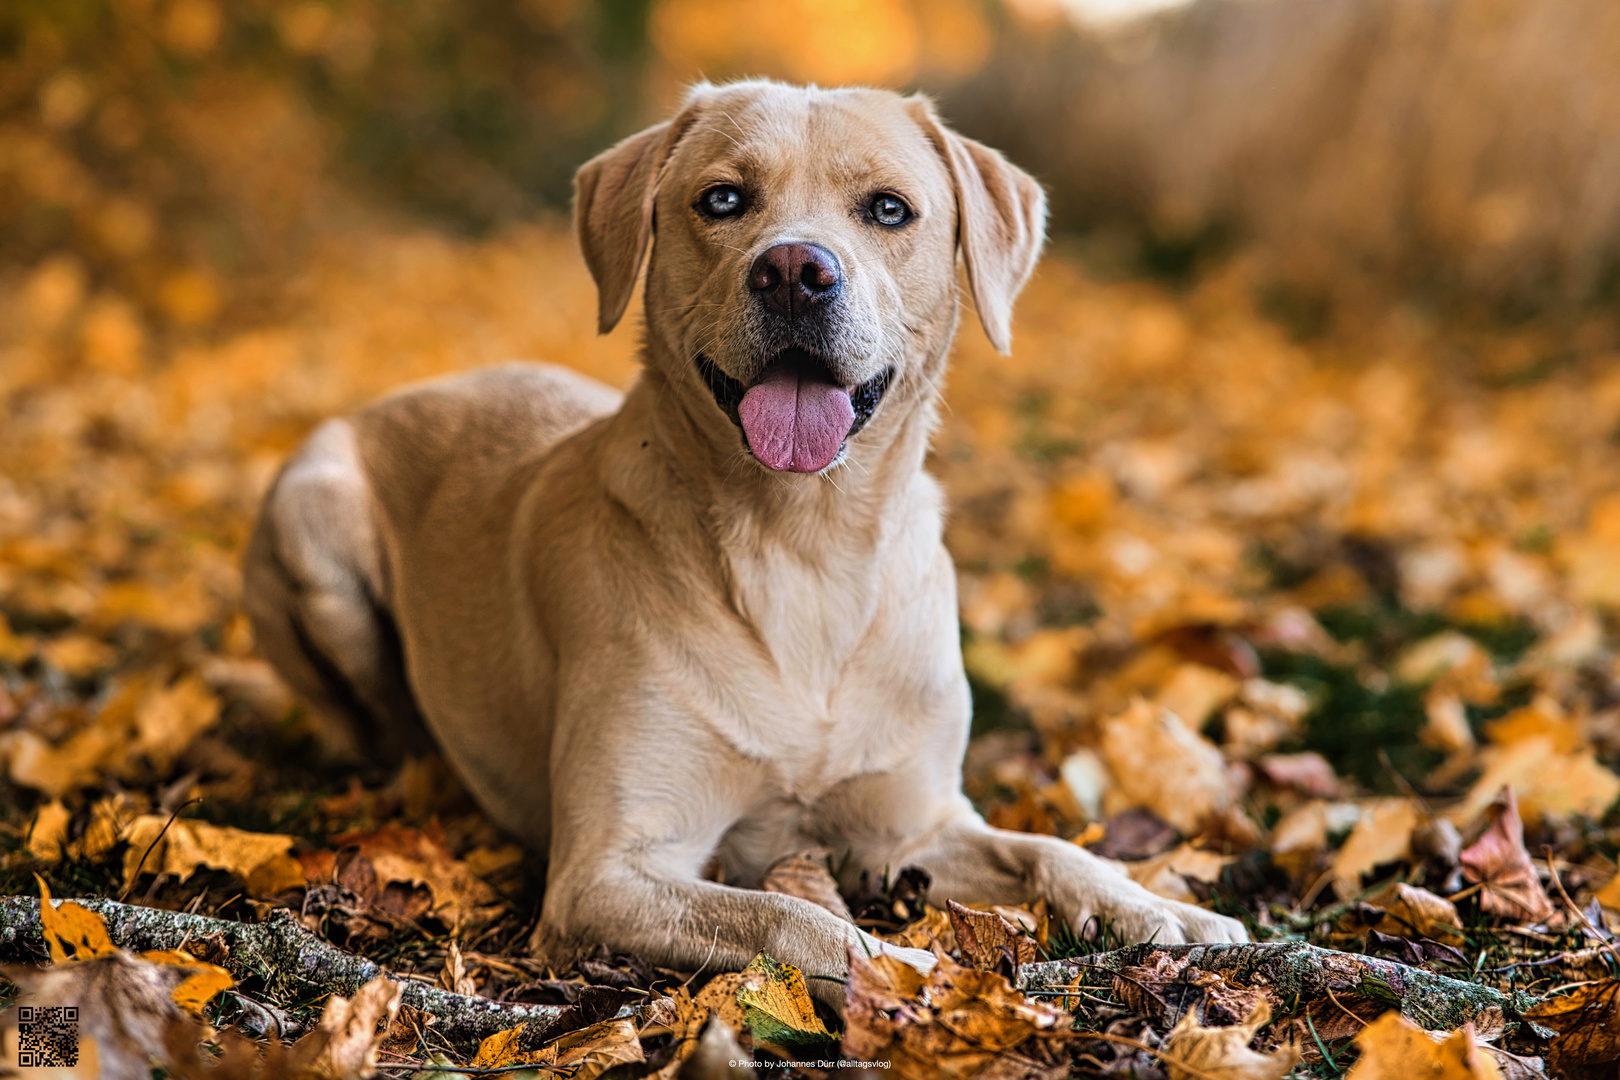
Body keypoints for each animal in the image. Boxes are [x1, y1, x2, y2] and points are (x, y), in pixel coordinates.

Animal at [246, 78, 1244, 1003]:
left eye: (889, 208)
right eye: (723, 199)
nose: (796, 269)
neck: (806, 545)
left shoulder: (912, 825)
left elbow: (1048, 849)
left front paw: (1160, 906)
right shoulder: (607, 871)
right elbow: (792, 919)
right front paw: (902, 970)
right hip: (313, 524)